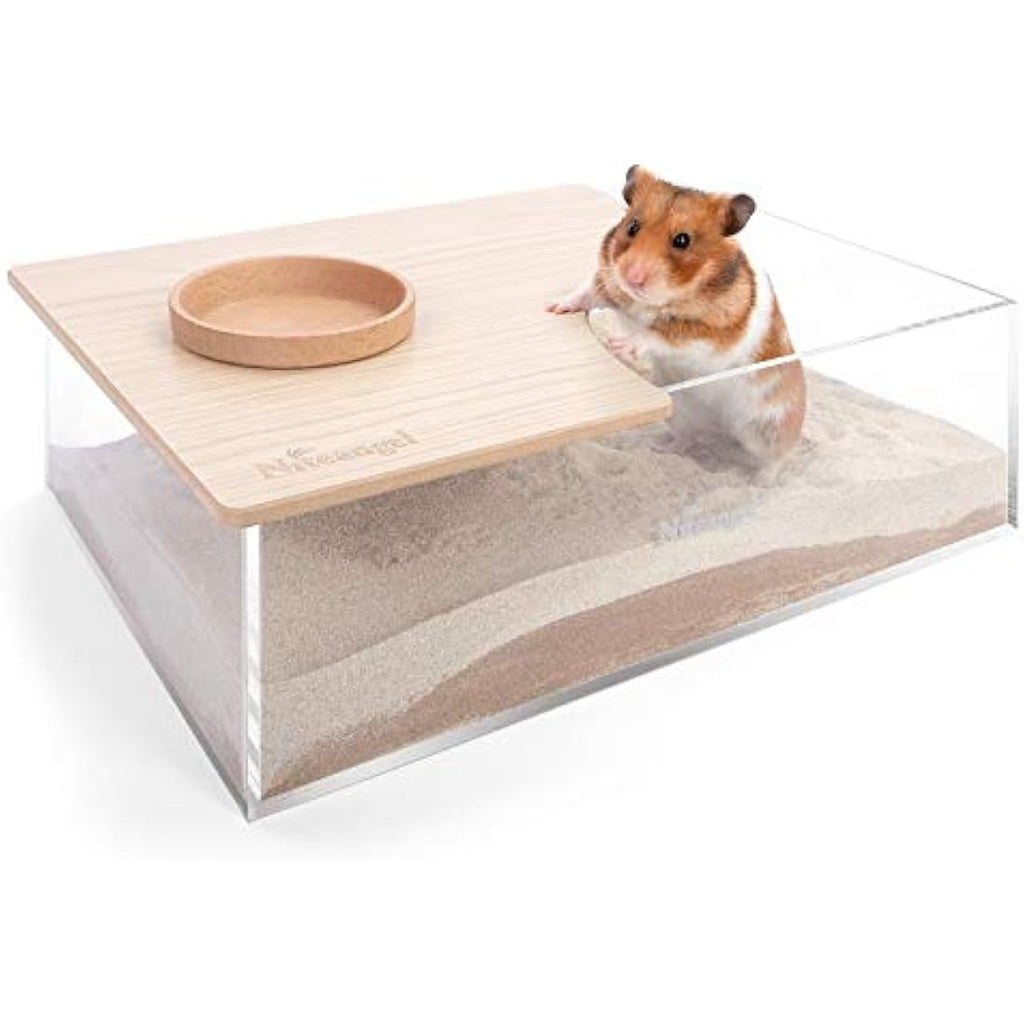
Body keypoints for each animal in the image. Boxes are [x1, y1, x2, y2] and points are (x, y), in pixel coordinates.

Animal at [548, 166, 805, 470]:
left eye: (682, 240)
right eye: (632, 227)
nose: (632, 278)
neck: (649, 303)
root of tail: (720, 434)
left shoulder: (708, 337)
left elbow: (657, 336)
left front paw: (618, 344)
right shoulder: (608, 285)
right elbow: (586, 292)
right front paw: (556, 307)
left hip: (769, 428)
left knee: (775, 460)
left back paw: (759, 478)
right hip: (681, 414)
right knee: (687, 441)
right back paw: (659, 447)